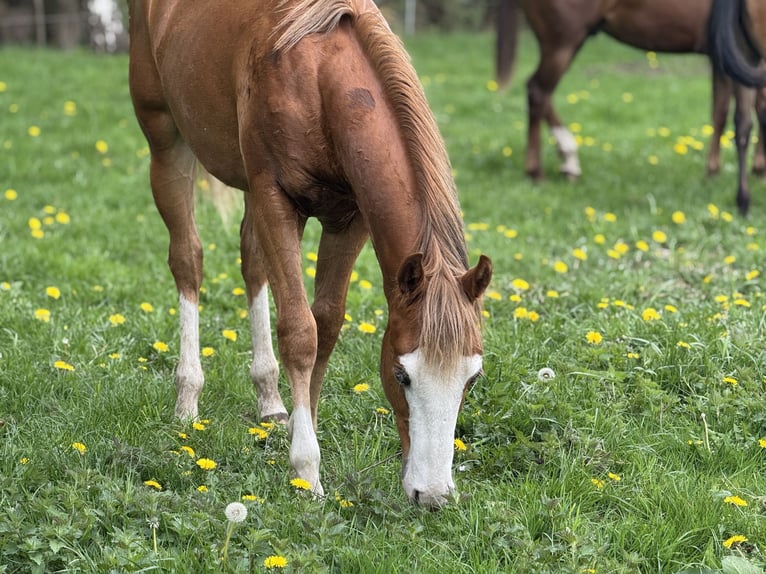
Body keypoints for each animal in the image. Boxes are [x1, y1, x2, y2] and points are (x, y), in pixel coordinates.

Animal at [127, 0, 492, 508]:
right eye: (401, 375)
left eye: (471, 379)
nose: (434, 495)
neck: (319, 78)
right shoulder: (277, 200)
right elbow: (300, 332)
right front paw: (307, 470)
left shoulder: (349, 219)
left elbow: (327, 323)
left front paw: (302, 429)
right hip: (166, 144)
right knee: (188, 260)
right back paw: (187, 398)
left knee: (252, 263)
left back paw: (270, 399)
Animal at [495, 0, 766, 215]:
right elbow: (742, 111)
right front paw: (747, 171)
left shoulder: (728, 56)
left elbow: (727, 112)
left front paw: (723, 172)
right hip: (563, 41)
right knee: (538, 91)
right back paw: (539, 170)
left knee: (539, 91)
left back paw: (566, 159)